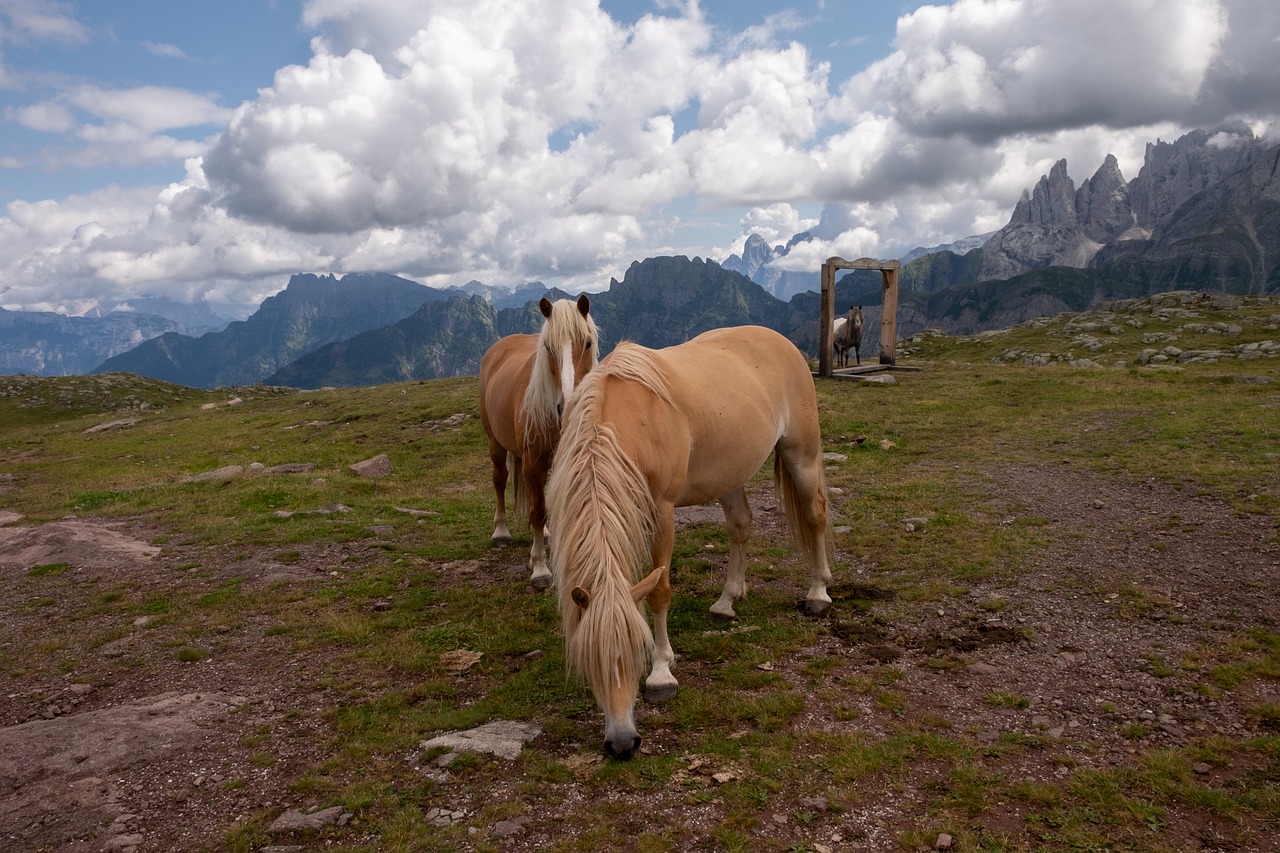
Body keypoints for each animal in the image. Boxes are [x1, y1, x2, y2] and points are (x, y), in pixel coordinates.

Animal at [481, 292, 599, 584]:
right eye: (547, 346)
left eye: (588, 343)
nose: (568, 405)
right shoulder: (532, 465)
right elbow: (536, 511)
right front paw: (540, 567)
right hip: (495, 443)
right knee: (499, 480)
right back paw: (501, 531)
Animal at [545, 324, 834, 758]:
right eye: (590, 661)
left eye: (636, 653)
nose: (623, 744)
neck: (625, 420)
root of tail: (778, 340)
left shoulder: (662, 511)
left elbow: (660, 590)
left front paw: (662, 672)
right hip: (730, 472)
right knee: (740, 526)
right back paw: (727, 600)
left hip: (801, 454)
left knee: (815, 516)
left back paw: (818, 592)